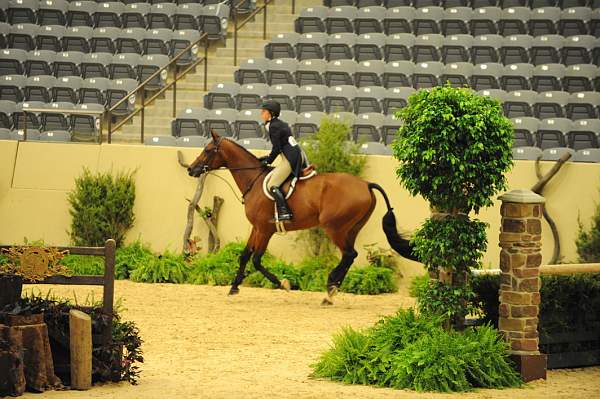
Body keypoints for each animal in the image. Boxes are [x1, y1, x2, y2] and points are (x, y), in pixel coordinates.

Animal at [189, 131, 418, 306]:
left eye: (208, 150)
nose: (191, 169)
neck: (253, 180)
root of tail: (366, 184)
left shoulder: (265, 229)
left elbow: (256, 260)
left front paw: (283, 284)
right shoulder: (257, 227)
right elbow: (245, 255)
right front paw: (234, 286)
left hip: (334, 227)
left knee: (349, 254)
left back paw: (330, 287)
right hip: (351, 228)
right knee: (349, 256)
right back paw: (331, 291)